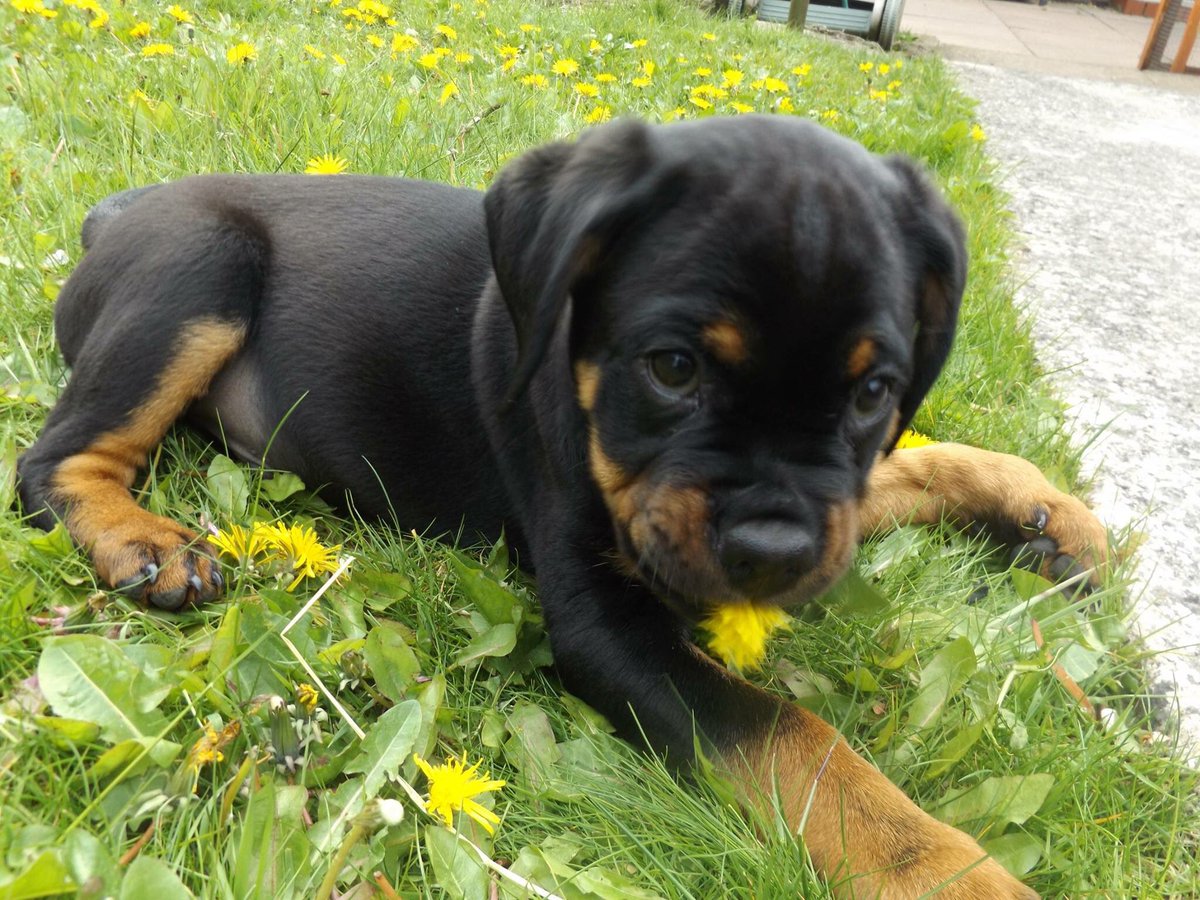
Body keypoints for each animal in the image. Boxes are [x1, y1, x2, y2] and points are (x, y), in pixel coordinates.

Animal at [18, 116, 1104, 897]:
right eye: (672, 369)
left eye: (875, 390)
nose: (773, 553)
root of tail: (115, 216)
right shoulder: (606, 621)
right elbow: (795, 740)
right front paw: (949, 871)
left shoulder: (833, 492)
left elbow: (916, 462)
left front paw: (1049, 513)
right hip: (201, 269)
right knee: (51, 461)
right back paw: (143, 543)